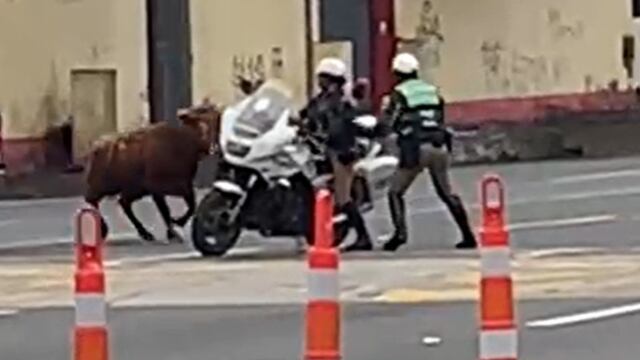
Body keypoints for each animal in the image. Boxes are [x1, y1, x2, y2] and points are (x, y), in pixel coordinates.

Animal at [84, 104, 222, 243]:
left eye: (216, 123)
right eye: (201, 122)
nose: (214, 148)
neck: (182, 144)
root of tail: (96, 148)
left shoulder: (184, 186)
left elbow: (191, 206)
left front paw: (176, 225)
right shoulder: (158, 189)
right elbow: (166, 211)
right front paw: (174, 231)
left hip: (134, 189)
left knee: (123, 202)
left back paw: (144, 233)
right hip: (104, 186)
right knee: (92, 200)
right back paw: (104, 229)